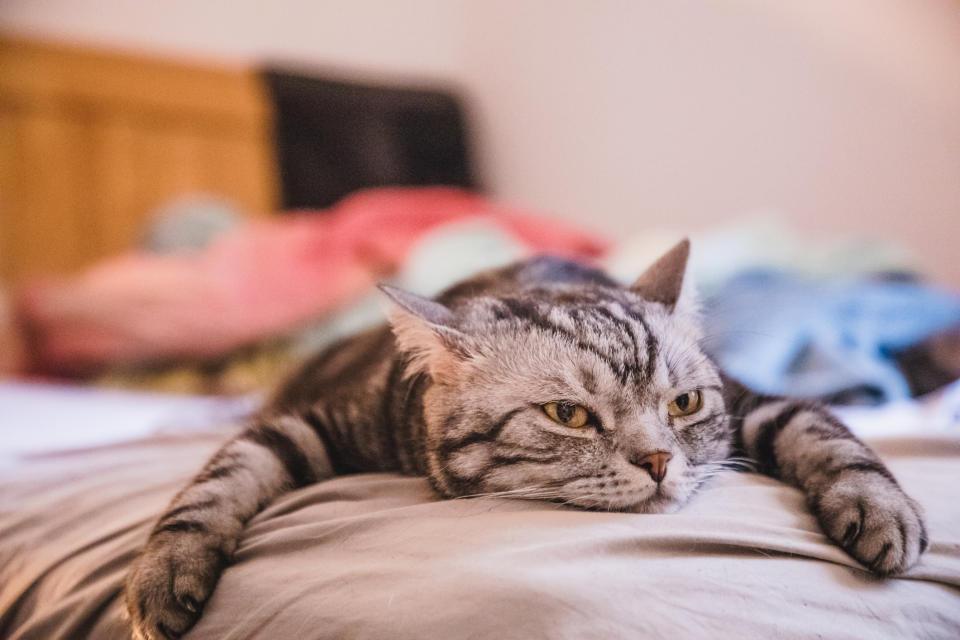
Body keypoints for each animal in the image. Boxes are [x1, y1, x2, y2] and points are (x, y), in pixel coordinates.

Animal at [124, 241, 928, 640]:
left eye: (684, 403)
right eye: (567, 415)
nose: (660, 460)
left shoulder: (756, 405)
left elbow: (823, 428)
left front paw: (883, 509)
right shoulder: (311, 424)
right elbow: (221, 477)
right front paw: (162, 575)